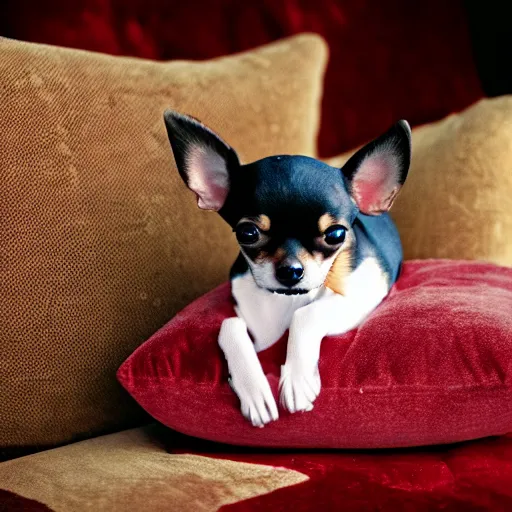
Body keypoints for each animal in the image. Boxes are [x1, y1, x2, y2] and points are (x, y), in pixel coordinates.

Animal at [164, 112, 412, 428]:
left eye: (336, 235)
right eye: (247, 233)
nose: (290, 271)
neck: (287, 299)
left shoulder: (361, 297)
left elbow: (306, 314)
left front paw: (297, 379)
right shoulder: (259, 332)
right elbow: (229, 326)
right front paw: (255, 391)